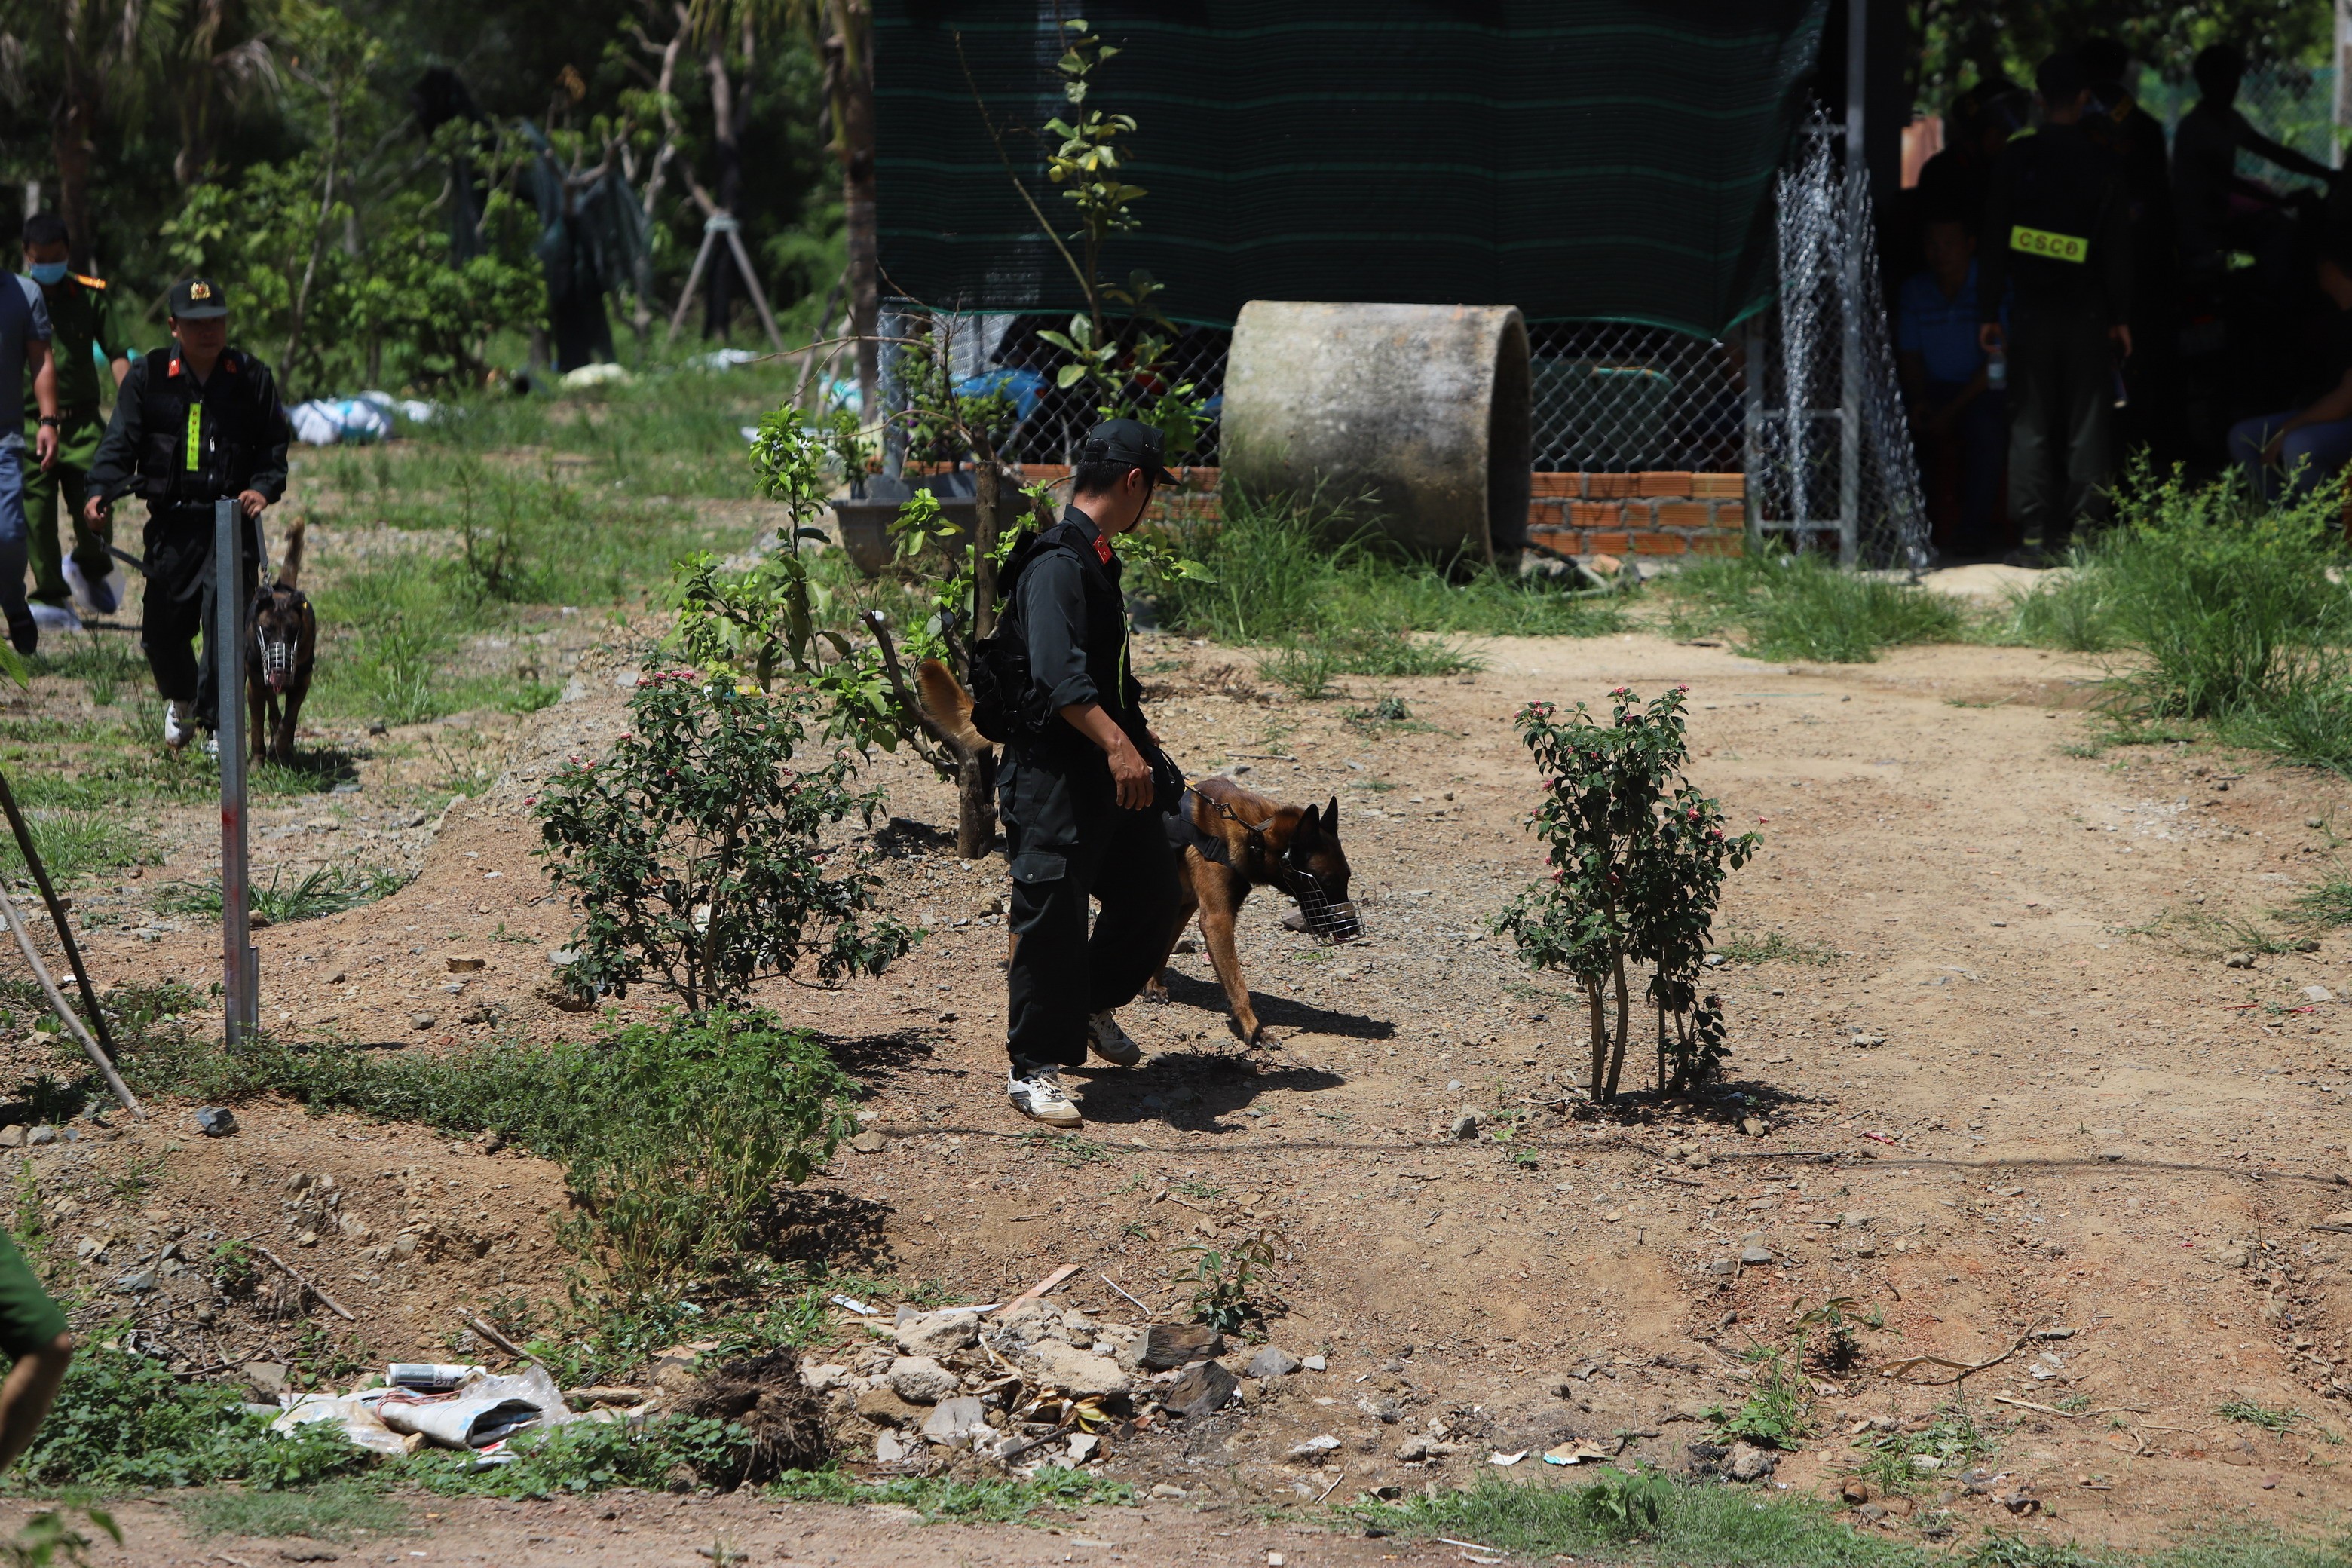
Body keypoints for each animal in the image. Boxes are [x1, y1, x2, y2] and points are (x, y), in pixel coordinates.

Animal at [246, 522, 315, 766]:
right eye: (267, 629)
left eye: (293, 629)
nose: (279, 671)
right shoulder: (255, 686)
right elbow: (257, 726)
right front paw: (258, 760)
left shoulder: (302, 684)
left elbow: (289, 720)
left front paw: (280, 747)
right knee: (272, 708)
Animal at [917, 658, 1364, 1048]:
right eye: (1327, 882)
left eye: (1345, 881)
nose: (1350, 931)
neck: (1253, 830)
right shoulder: (1217, 919)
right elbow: (1237, 983)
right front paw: (1254, 1028)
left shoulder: (1181, 902)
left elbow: (1163, 944)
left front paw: (1152, 984)